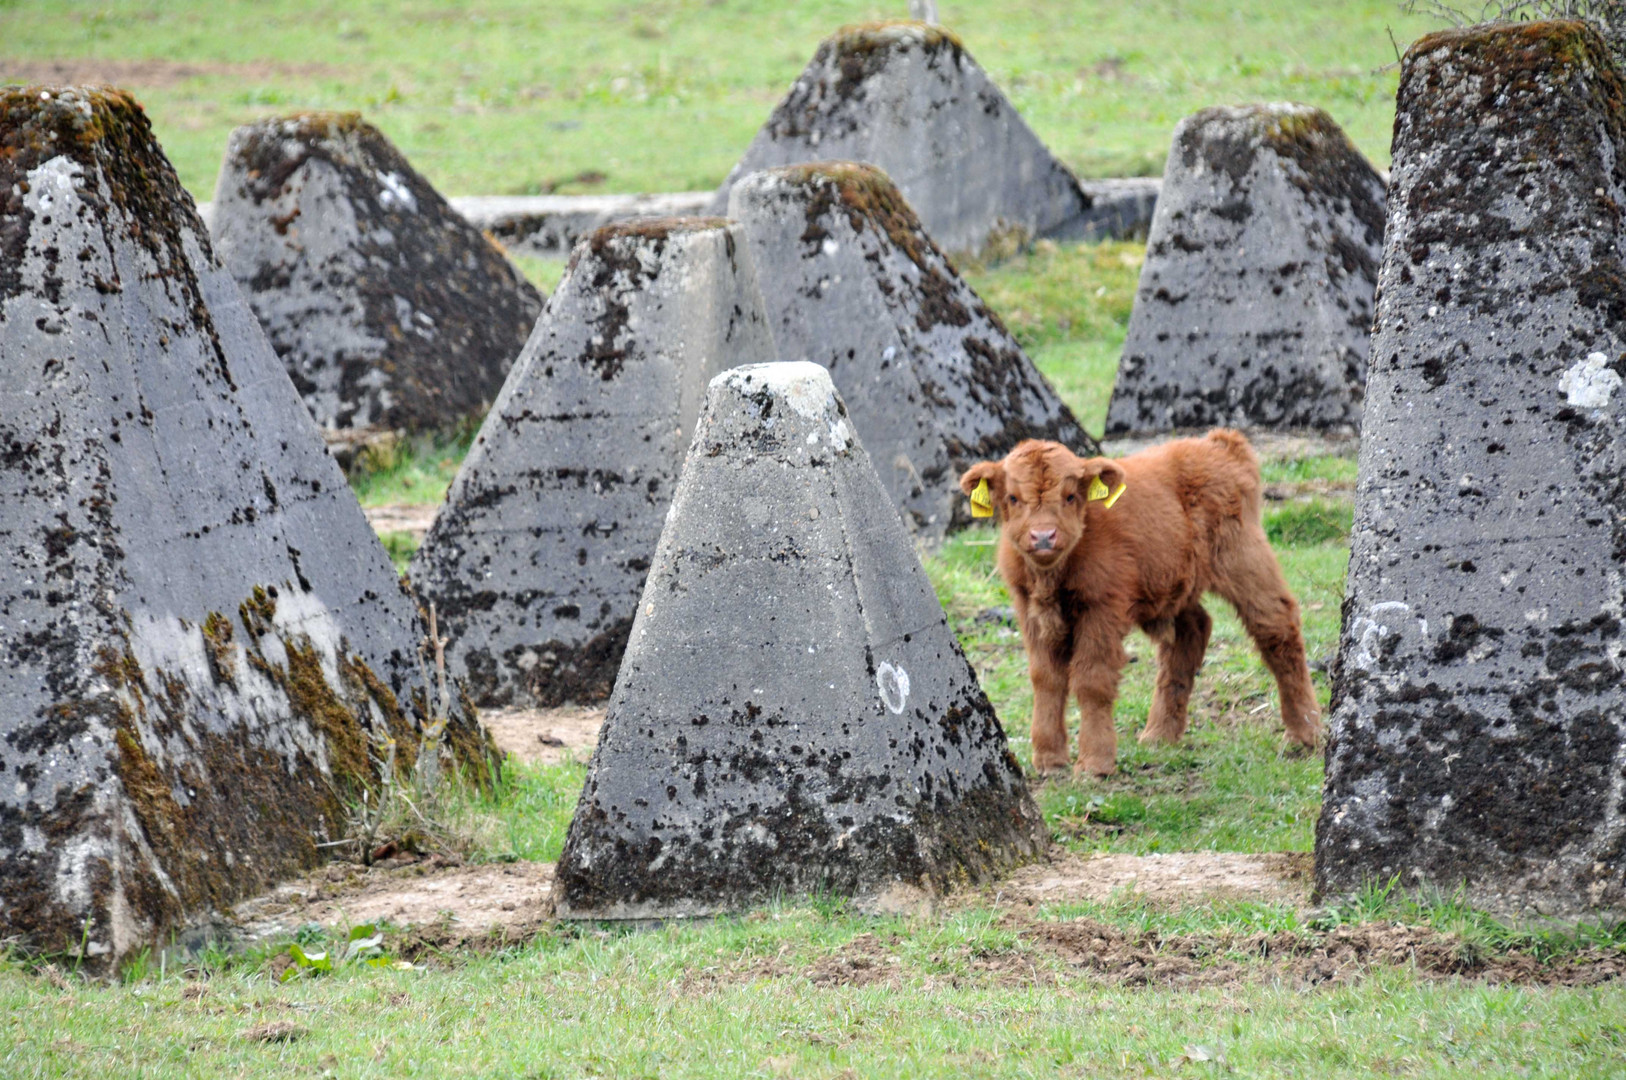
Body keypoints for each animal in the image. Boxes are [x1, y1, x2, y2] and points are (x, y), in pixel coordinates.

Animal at [962, 429, 1320, 777]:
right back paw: (1160, 734)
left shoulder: (1102, 609)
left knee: (1277, 627)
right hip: (1176, 584)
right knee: (1191, 634)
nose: (1043, 536)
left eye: (1070, 496)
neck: (1052, 575)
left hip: (1244, 558)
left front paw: (1094, 763)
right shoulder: (1030, 612)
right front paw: (1049, 759)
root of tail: (1216, 444)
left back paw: (1304, 732)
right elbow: (1046, 679)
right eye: (1013, 498)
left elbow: (1091, 680)